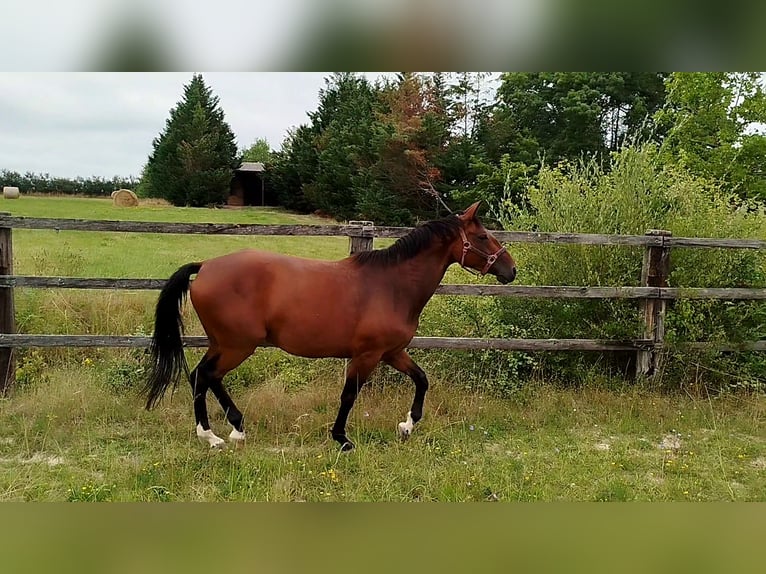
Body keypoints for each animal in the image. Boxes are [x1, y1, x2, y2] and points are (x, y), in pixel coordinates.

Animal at [143, 201, 516, 450]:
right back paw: (212, 435)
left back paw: (234, 428)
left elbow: (421, 380)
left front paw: (407, 426)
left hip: (225, 344)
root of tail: (205, 266)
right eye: (483, 236)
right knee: (205, 376)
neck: (391, 285)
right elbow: (349, 395)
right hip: (237, 345)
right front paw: (342, 438)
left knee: (204, 377)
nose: (511, 270)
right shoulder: (367, 355)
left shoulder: (392, 352)